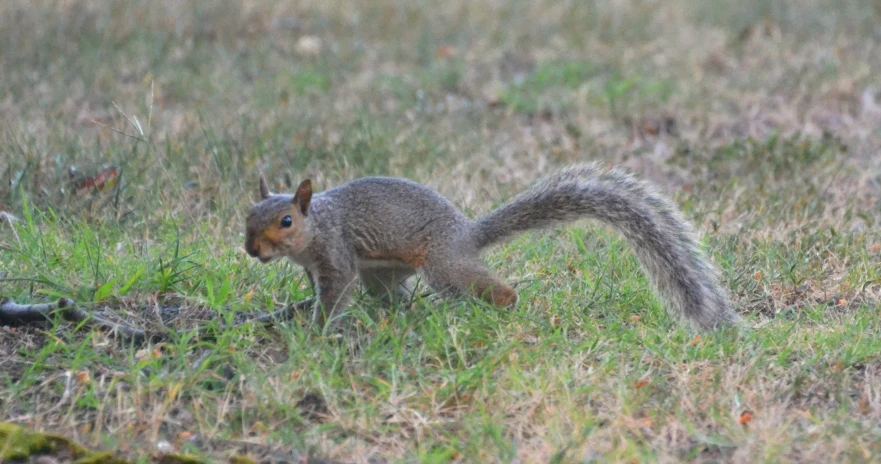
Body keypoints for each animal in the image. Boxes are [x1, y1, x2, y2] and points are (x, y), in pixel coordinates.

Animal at [244, 163, 740, 330]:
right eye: (247, 215)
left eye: (286, 221)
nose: (252, 251)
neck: (315, 230)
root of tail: (467, 234)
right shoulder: (316, 269)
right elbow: (318, 294)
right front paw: (288, 314)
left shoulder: (338, 255)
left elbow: (334, 297)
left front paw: (317, 331)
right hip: (384, 273)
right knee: (393, 299)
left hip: (444, 266)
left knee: (496, 291)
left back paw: (491, 307)